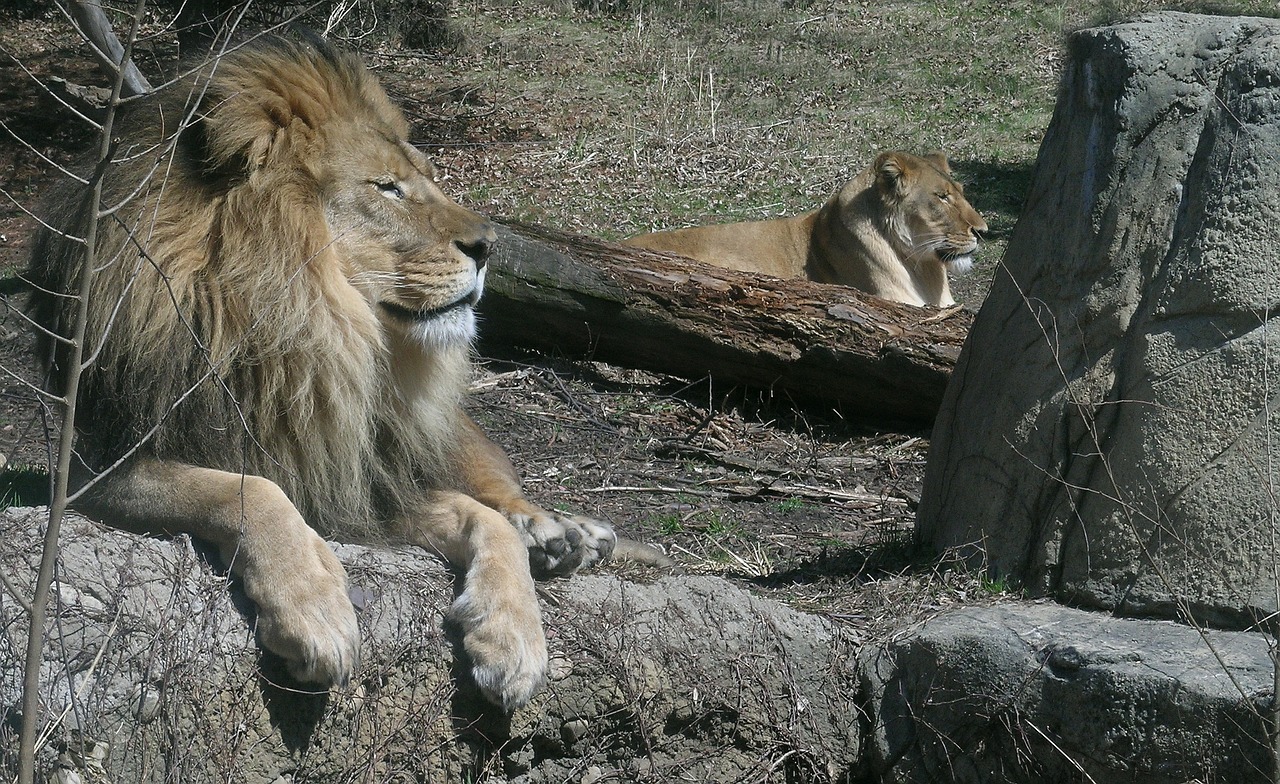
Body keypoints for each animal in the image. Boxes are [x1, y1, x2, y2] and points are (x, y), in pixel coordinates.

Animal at [24, 35, 640, 712]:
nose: (490, 246)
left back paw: (563, 535)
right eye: (387, 188)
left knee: (503, 491)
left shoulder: (361, 479)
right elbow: (250, 489)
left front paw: (513, 638)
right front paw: (316, 609)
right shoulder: (102, 470)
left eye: (428, 179)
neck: (303, 342)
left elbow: (486, 518)